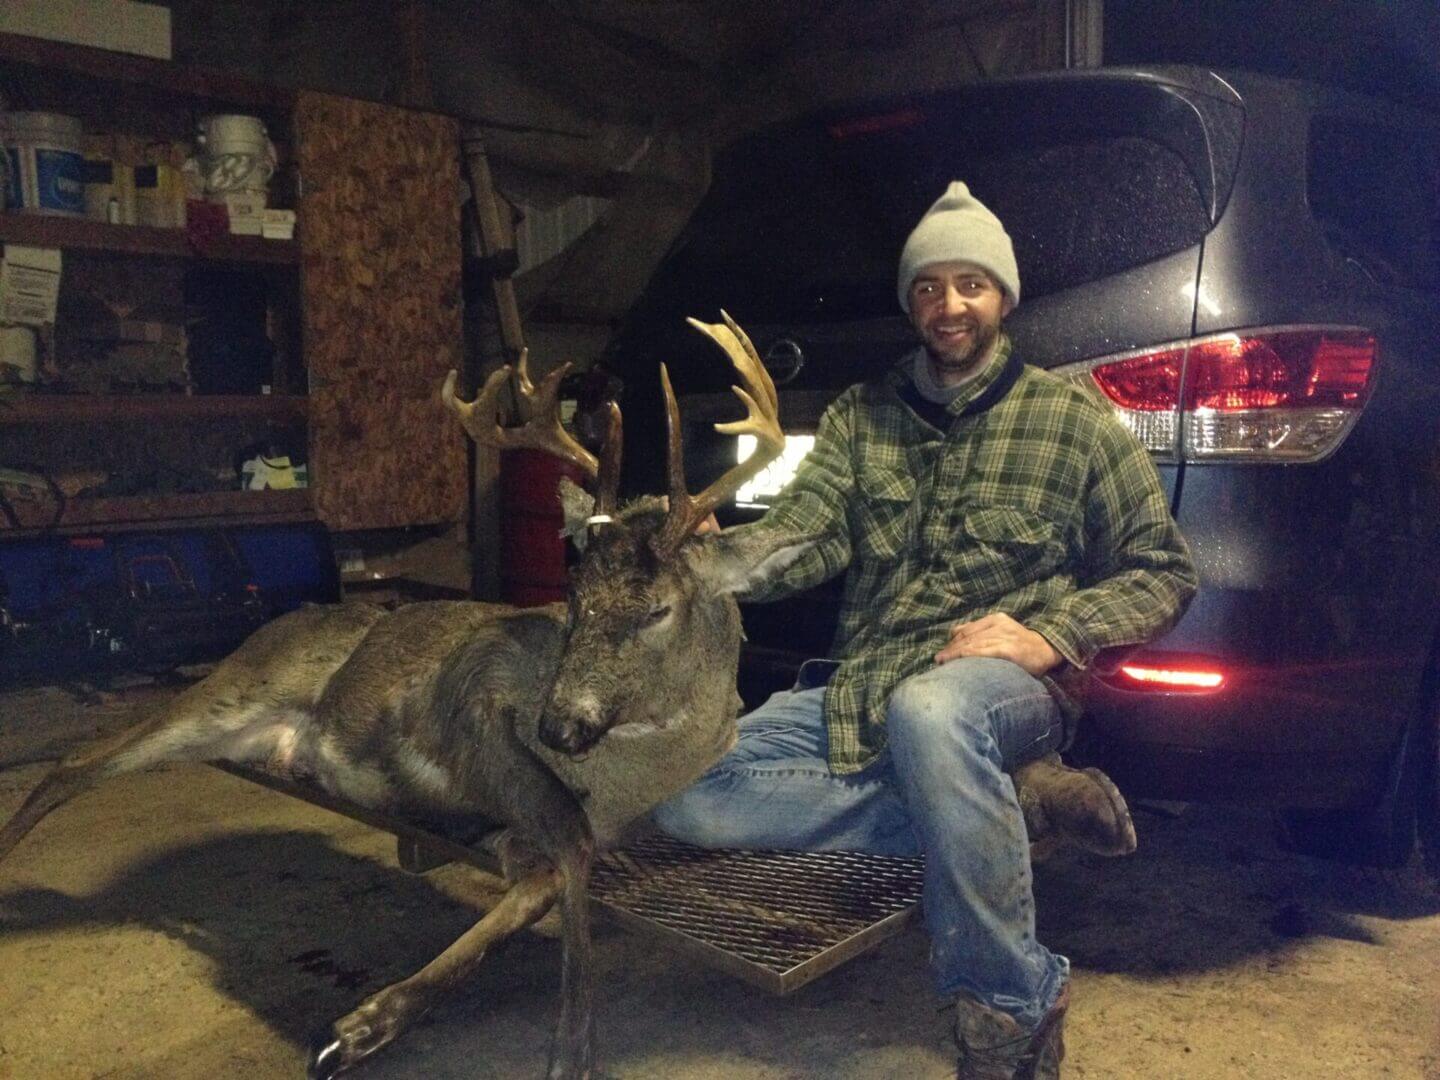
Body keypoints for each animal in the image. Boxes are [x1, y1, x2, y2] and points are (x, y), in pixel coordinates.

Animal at [0, 312, 816, 1080]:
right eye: (575, 592)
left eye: (656, 610)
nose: (557, 725)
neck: (626, 770)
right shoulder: (469, 697)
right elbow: (571, 836)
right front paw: (572, 1048)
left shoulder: (543, 832)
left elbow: (545, 880)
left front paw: (360, 1029)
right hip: (232, 687)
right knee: (74, 761)